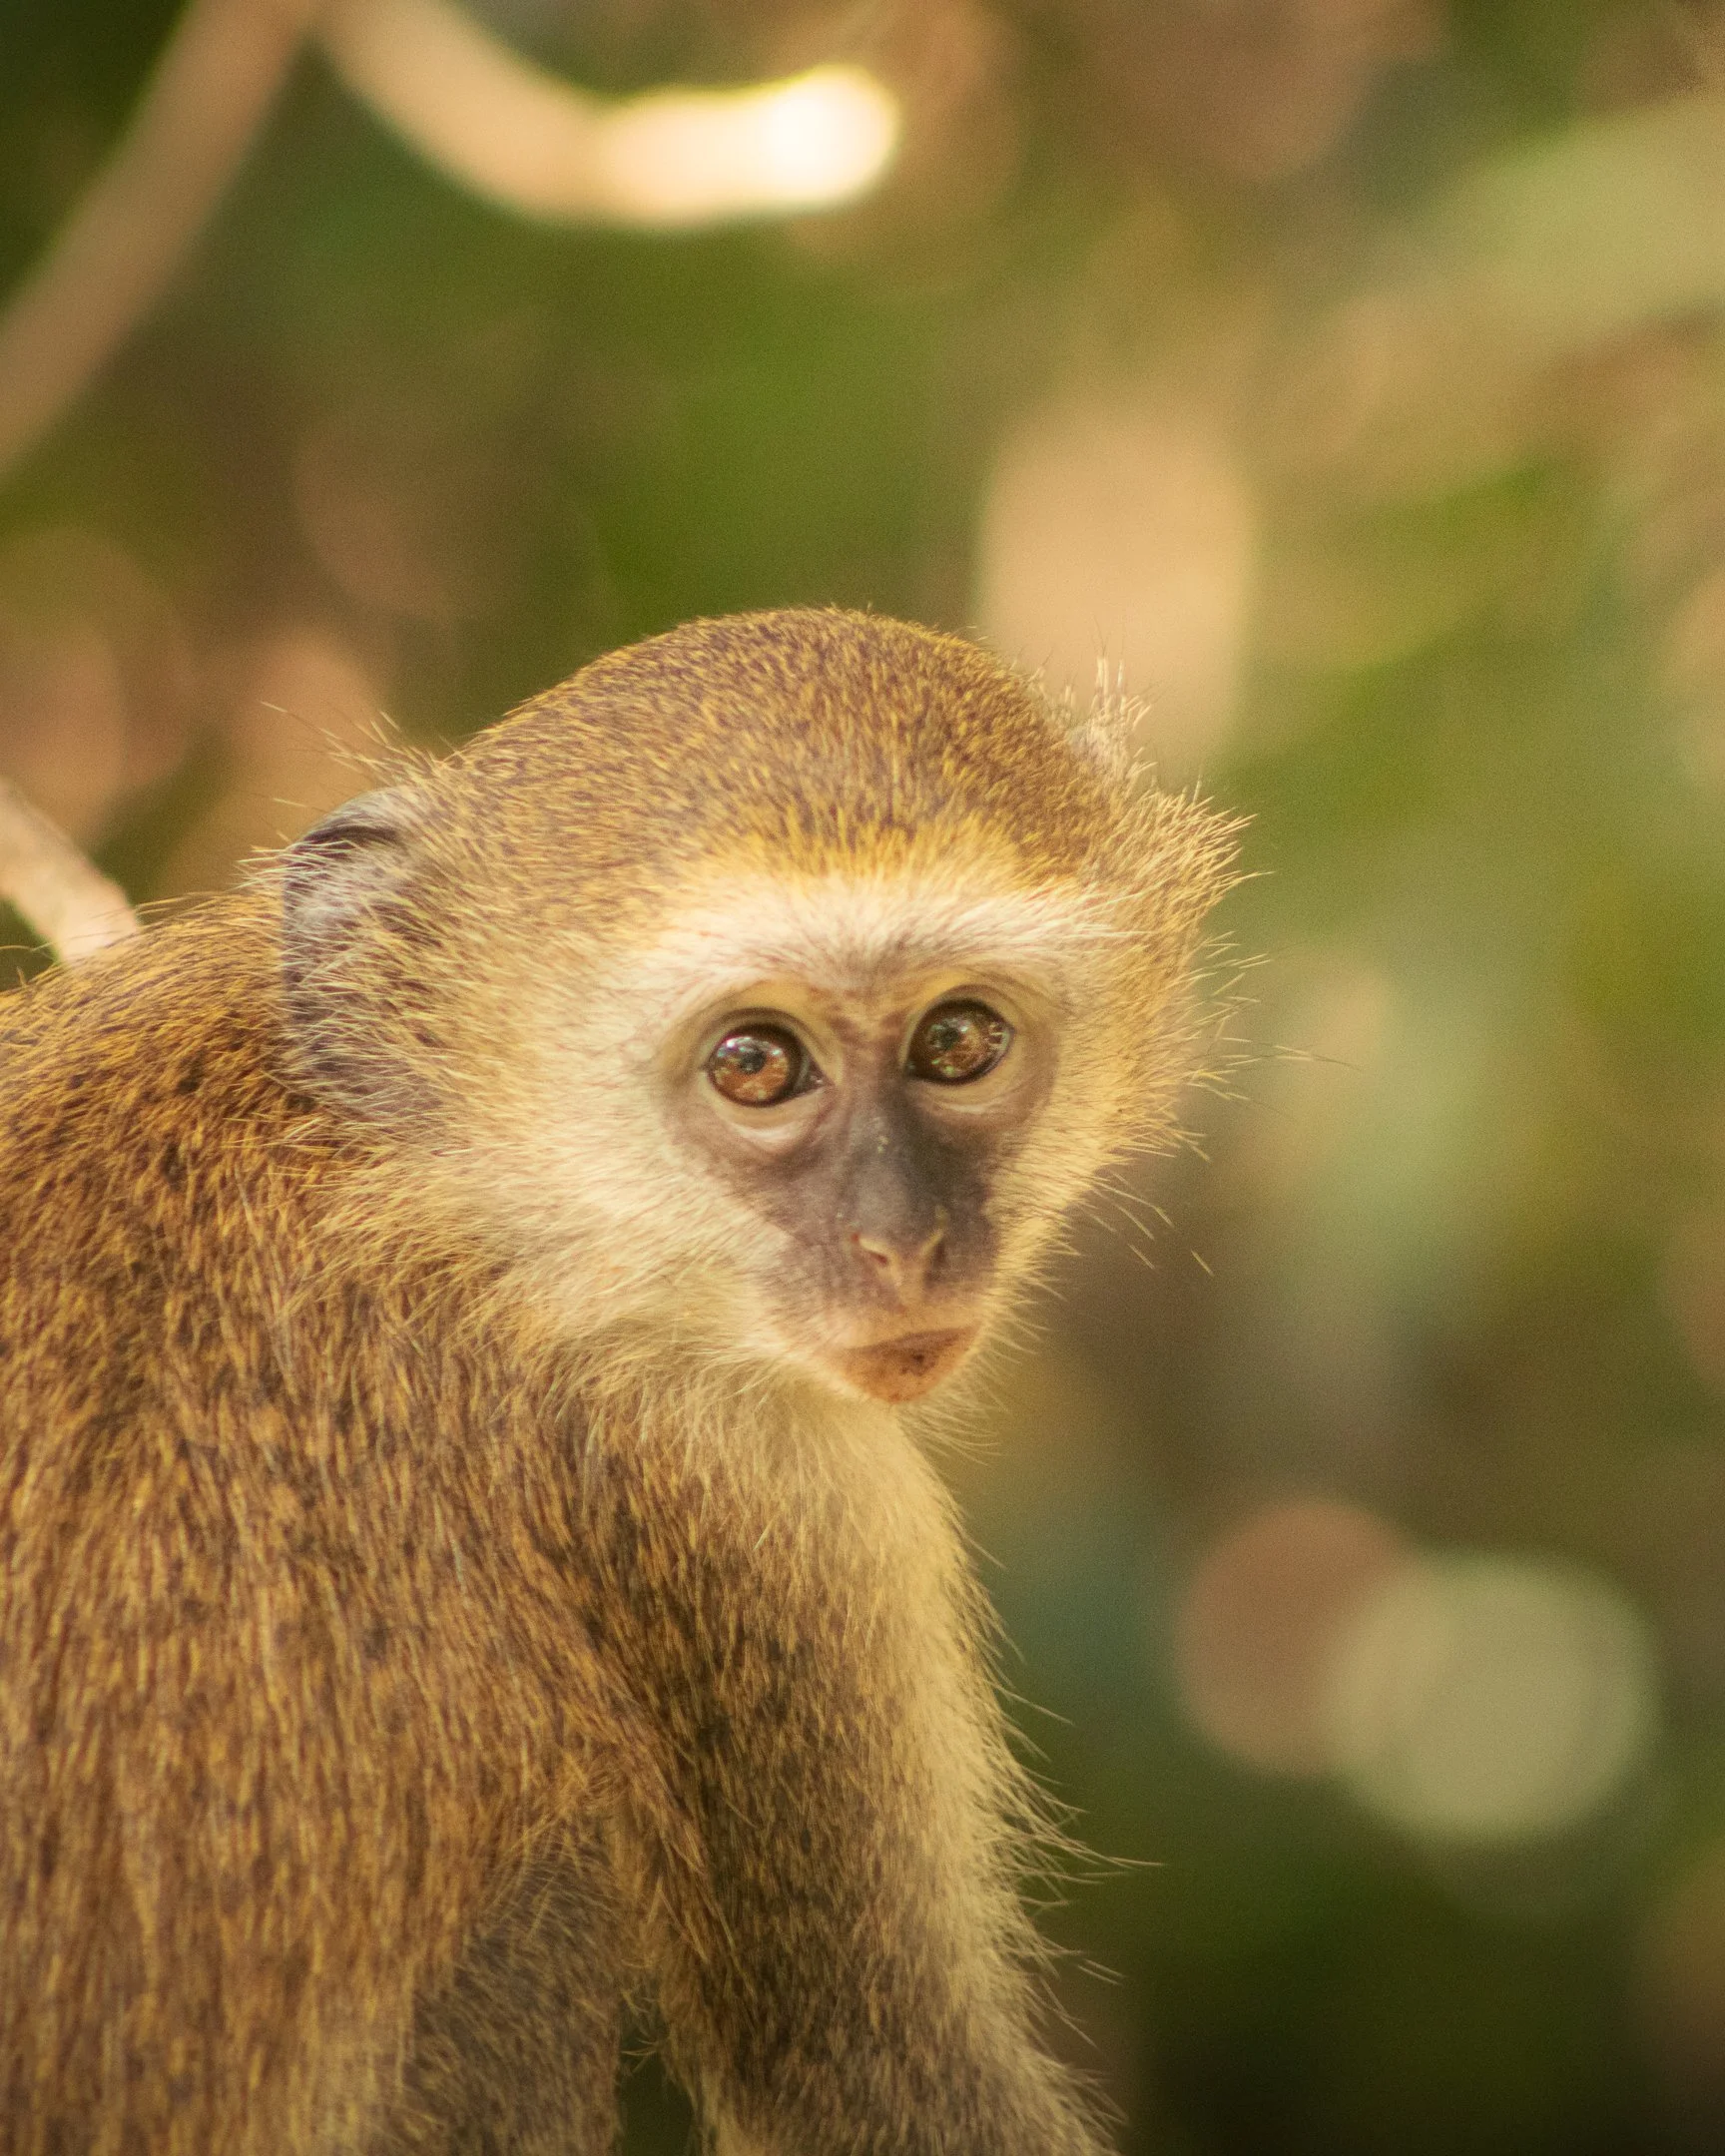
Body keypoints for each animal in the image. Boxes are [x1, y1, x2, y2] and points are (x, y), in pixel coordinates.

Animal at [0, 606, 1234, 2154]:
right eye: (756, 1064)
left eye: (958, 1041)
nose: (902, 1243)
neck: (432, 1175)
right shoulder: (751, 1502)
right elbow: (867, 2070)